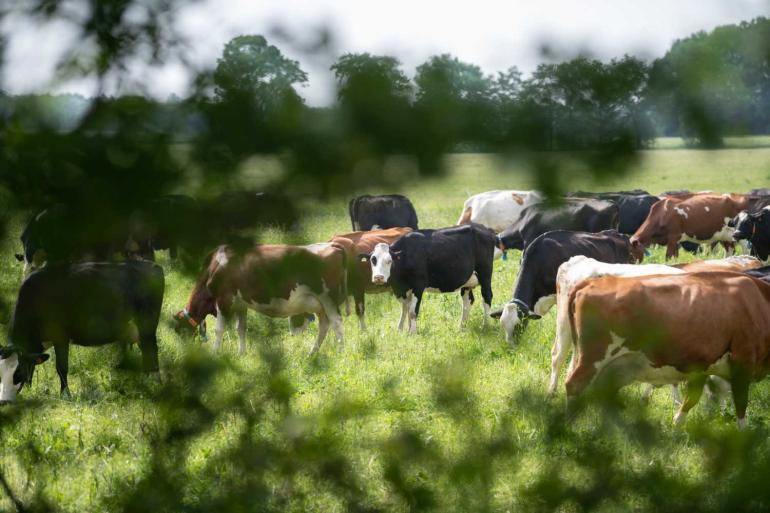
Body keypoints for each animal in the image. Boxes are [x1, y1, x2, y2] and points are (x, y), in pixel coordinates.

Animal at [0, 262, 164, 402]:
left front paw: (65, 395)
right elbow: (33, 368)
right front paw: (30, 391)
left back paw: (155, 385)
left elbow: (61, 368)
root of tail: (152, 265)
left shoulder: (61, 337)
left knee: (151, 350)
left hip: (147, 325)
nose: (4, 401)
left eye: (18, 373)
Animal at [176, 242, 346, 354]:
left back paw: (340, 353)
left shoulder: (224, 300)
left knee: (337, 323)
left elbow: (219, 329)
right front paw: (241, 353)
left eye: (180, 331)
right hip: (320, 305)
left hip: (328, 299)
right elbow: (241, 328)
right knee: (324, 326)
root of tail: (332, 245)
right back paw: (312, 353)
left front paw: (214, 353)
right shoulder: (240, 304)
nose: (184, 352)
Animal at [364, 224, 496, 332]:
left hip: (485, 274)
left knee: (487, 297)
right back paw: (461, 327)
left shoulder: (418, 285)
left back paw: (485, 326)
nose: (378, 277)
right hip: (467, 281)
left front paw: (412, 333)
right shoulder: (403, 289)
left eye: (389, 261)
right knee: (467, 303)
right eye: (373, 260)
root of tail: (483, 228)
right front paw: (402, 330)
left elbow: (412, 311)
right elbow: (405, 309)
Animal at [560, 272, 768, 428]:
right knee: (574, 385)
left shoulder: (703, 364)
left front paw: (677, 424)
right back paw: (570, 425)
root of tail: (591, 282)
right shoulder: (743, 360)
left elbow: (693, 398)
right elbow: (741, 403)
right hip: (593, 357)